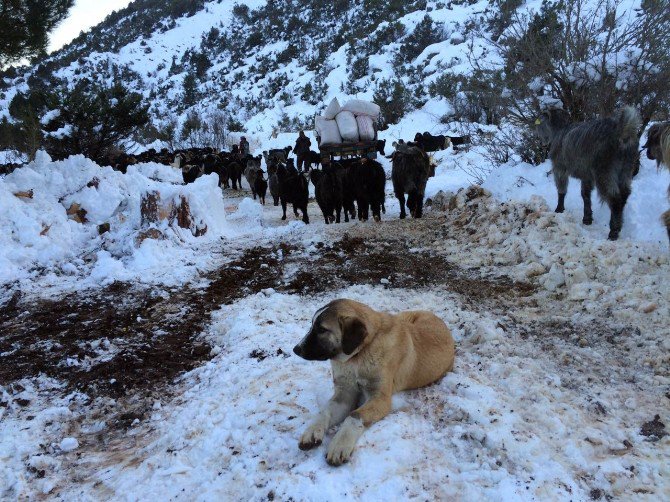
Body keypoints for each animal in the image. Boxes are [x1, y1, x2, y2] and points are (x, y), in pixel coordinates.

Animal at [294, 298, 456, 466]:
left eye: (322, 330)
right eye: (313, 325)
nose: (296, 349)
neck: (358, 356)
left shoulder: (380, 399)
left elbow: (354, 415)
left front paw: (339, 444)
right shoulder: (344, 393)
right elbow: (325, 411)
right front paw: (312, 431)